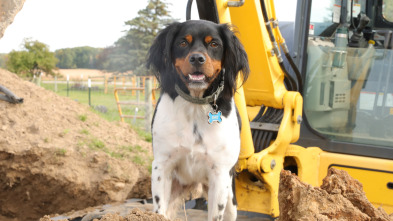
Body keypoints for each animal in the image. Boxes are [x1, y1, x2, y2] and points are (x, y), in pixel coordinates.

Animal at [147, 19, 248, 220]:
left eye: (214, 44)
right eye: (182, 43)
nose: (197, 59)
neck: (195, 105)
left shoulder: (220, 173)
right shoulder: (161, 165)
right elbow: (159, 209)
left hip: (230, 199)